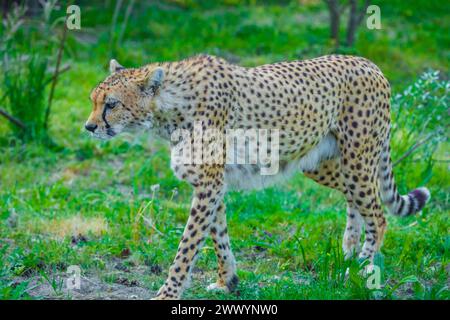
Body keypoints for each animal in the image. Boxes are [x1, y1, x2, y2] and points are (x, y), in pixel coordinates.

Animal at [86, 53, 430, 298]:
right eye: (93, 100)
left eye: (111, 104)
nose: (89, 127)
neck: (169, 108)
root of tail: (368, 63)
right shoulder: (213, 183)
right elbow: (218, 236)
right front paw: (227, 282)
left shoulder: (209, 184)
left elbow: (188, 245)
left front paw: (168, 293)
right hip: (323, 163)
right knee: (358, 201)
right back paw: (348, 250)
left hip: (358, 159)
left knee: (378, 215)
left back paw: (360, 269)